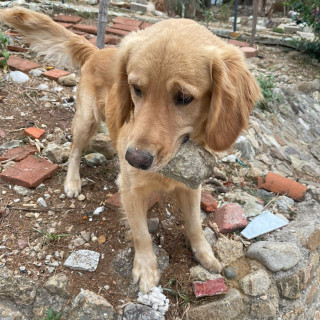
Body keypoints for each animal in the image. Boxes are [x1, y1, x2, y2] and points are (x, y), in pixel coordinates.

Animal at [1, 7, 262, 292]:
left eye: (184, 98)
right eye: (136, 89)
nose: (135, 159)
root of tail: (98, 50)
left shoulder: (191, 187)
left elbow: (194, 224)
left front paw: (204, 254)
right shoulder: (130, 189)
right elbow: (141, 233)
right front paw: (146, 269)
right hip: (86, 120)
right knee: (74, 150)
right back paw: (73, 181)